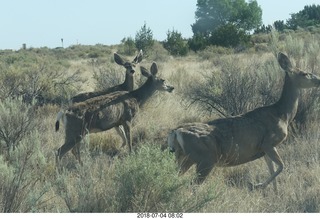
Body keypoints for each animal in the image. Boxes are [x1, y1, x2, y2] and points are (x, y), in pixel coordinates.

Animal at [168, 52, 320, 191]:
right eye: (305, 73)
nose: (318, 80)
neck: (283, 115)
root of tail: (176, 132)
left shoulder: (265, 149)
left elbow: (273, 169)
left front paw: (275, 193)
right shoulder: (268, 143)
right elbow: (281, 166)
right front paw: (258, 185)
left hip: (183, 157)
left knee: (175, 177)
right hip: (204, 159)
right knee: (192, 185)